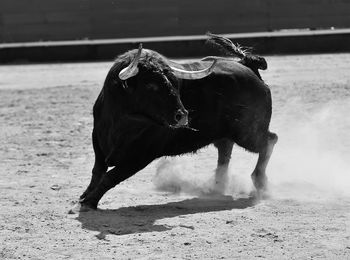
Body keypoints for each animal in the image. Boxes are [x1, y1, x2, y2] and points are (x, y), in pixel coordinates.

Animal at [78, 46, 278, 211]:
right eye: (150, 85)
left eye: (175, 83)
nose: (182, 116)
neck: (121, 120)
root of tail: (248, 67)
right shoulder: (98, 138)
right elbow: (98, 170)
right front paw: (84, 196)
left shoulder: (141, 155)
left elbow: (111, 176)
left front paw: (89, 202)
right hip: (226, 132)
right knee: (225, 149)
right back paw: (217, 186)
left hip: (247, 132)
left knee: (269, 140)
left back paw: (259, 183)